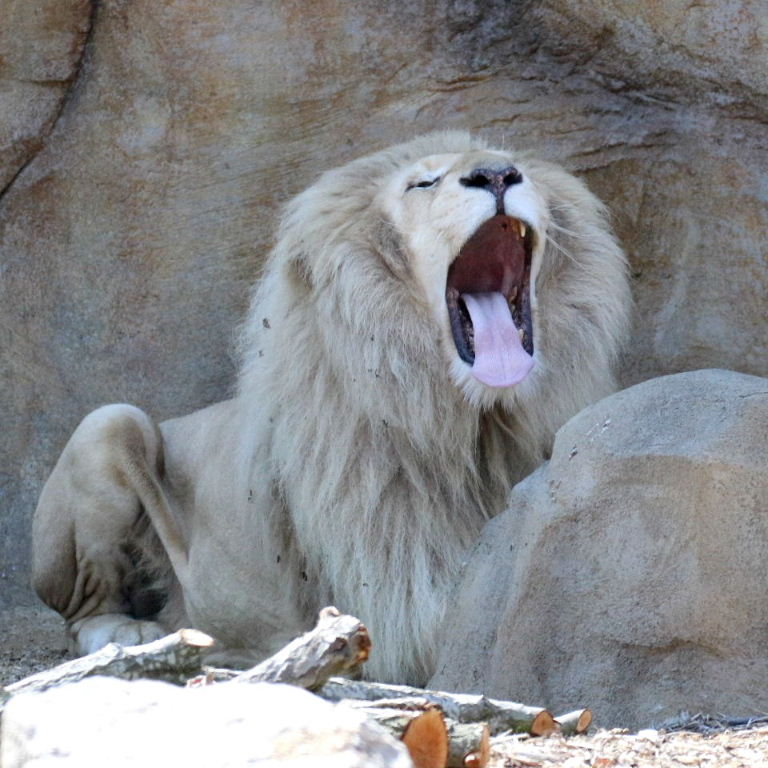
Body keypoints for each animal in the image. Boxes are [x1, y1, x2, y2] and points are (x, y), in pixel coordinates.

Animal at [32, 131, 630, 685]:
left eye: (514, 164)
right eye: (423, 183)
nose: (498, 175)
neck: (478, 425)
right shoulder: (396, 600)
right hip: (110, 423)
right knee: (80, 614)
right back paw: (127, 635)